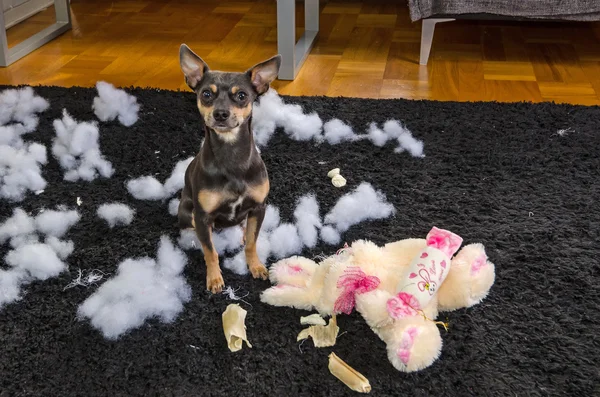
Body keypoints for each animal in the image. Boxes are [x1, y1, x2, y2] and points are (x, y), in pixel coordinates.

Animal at [177, 44, 282, 294]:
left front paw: (256, 266)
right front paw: (214, 278)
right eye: (206, 94)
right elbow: (210, 252)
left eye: (242, 96)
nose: (221, 114)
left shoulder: (259, 207)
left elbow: (252, 243)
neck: (231, 153)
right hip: (187, 211)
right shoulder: (203, 216)